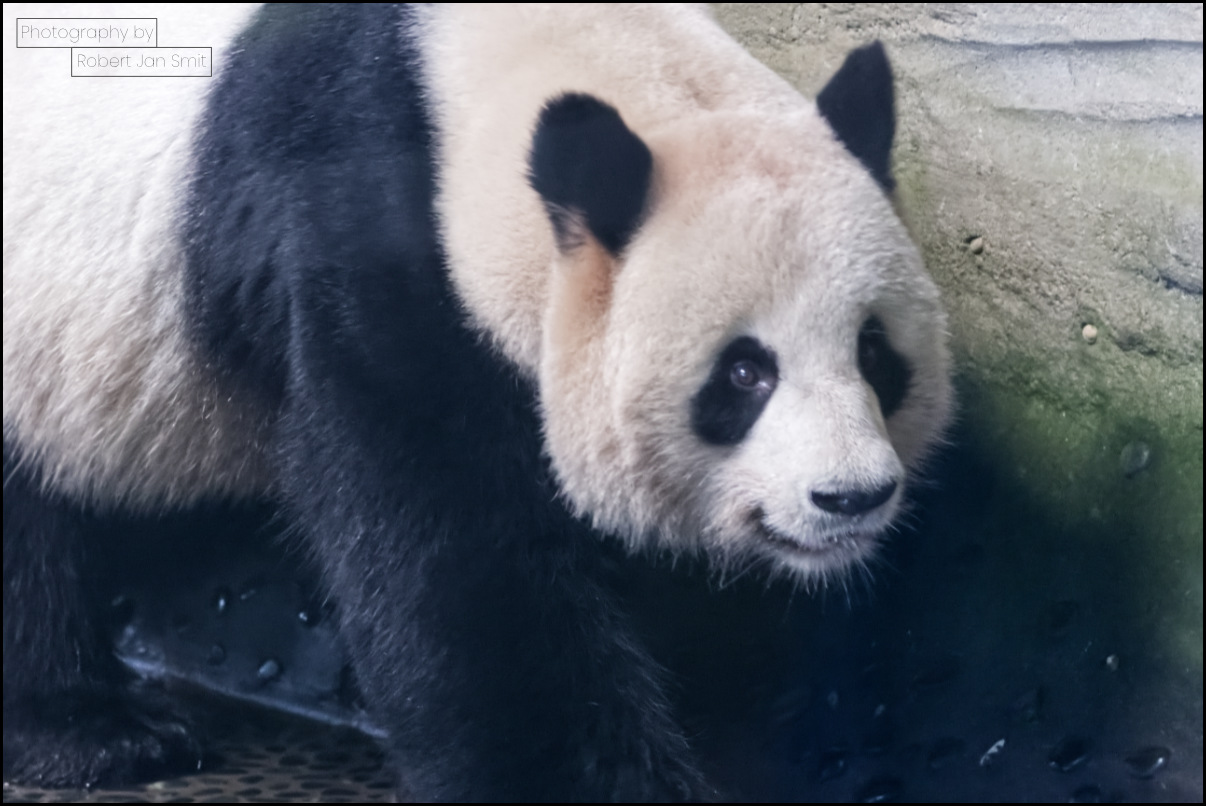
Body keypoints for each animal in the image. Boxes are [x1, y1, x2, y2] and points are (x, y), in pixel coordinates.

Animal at [3, 3, 951, 800]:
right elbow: (464, 577)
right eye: (745, 373)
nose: (852, 498)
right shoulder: (373, 260)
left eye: (875, 352)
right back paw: (95, 731)